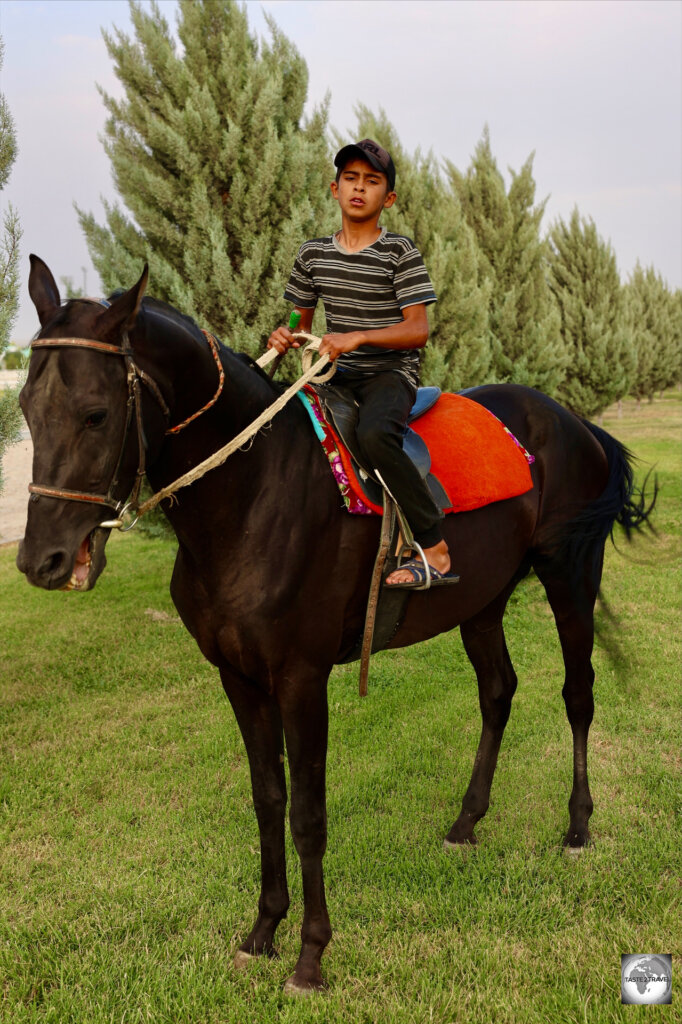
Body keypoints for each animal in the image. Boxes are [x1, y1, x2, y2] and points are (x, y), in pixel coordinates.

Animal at [19, 256, 647, 991]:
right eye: (27, 410)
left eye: (95, 414)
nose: (43, 559)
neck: (256, 493)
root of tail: (574, 423)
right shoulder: (239, 677)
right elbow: (268, 799)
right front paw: (263, 929)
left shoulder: (301, 679)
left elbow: (308, 813)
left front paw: (311, 954)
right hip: (482, 603)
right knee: (498, 693)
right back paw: (466, 822)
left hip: (570, 577)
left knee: (578, 694)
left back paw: (577, 827)